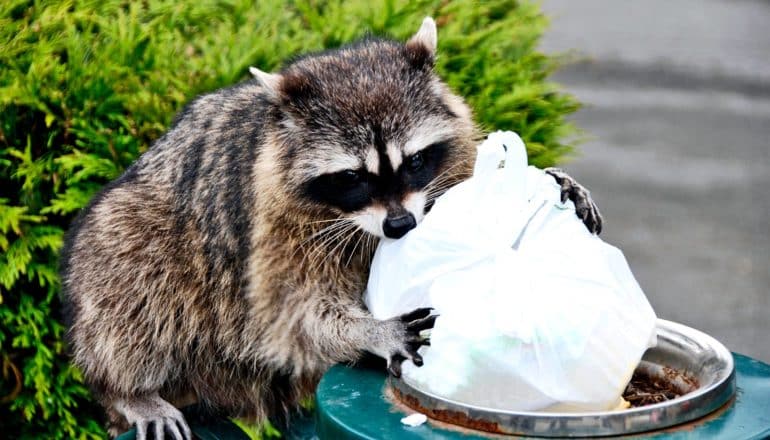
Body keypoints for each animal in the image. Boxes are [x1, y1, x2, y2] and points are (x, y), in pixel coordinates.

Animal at [60, 18, 602, 439]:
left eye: (414, 162)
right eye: (352, 177)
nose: (401, 225)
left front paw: (550, 181)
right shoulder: (272, 230)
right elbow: (288, 315)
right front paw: (370, 329)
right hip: (132, 233)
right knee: (130, 271)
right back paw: (128, 389)